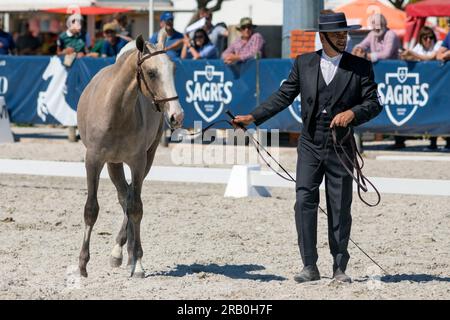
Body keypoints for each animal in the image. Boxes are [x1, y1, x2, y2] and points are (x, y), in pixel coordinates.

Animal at [76, 34, 184, 276]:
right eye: (151, 73)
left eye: (174, 70)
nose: (177, 115)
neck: (116, 110)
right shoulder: (93, 161)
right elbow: (91, 209)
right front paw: (83, 264)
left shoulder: (137, 162)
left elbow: (136, 209)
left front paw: (138, 262)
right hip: (113, 164)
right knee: (124, 195)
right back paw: (121, 251)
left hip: (145, 160)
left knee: (131, 198)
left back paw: (125, 252)